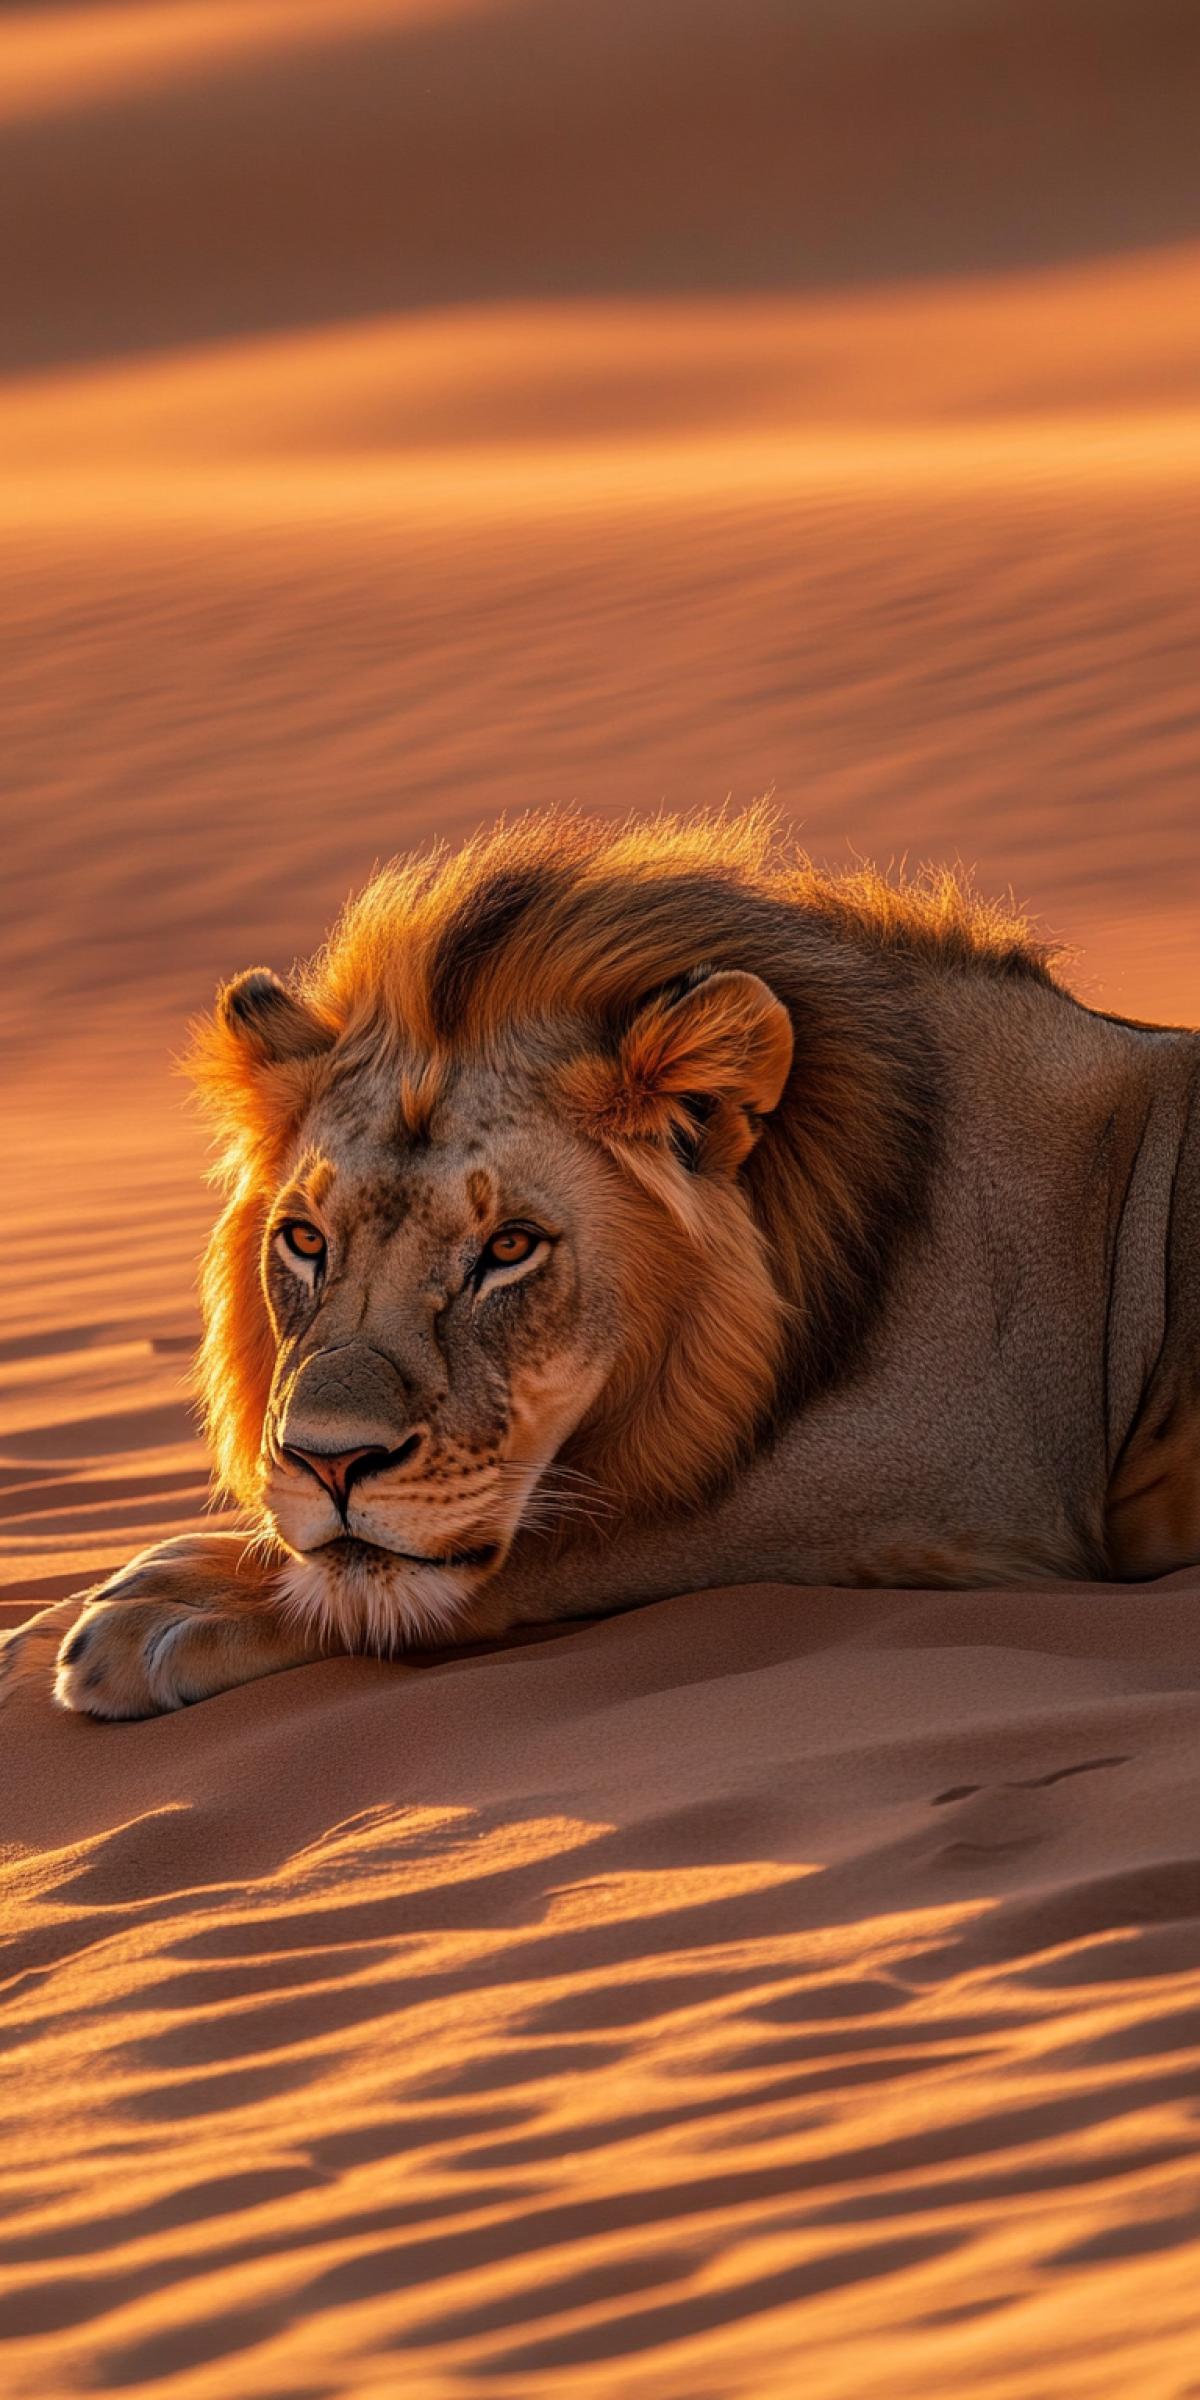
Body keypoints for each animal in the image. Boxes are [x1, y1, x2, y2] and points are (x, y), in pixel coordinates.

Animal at [52, 808, 1200, 1719]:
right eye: (304, 1241)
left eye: (509, 1248)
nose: (329, 1462)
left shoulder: (956, 1483)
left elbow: (560, 1545)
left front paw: (156, 1615)